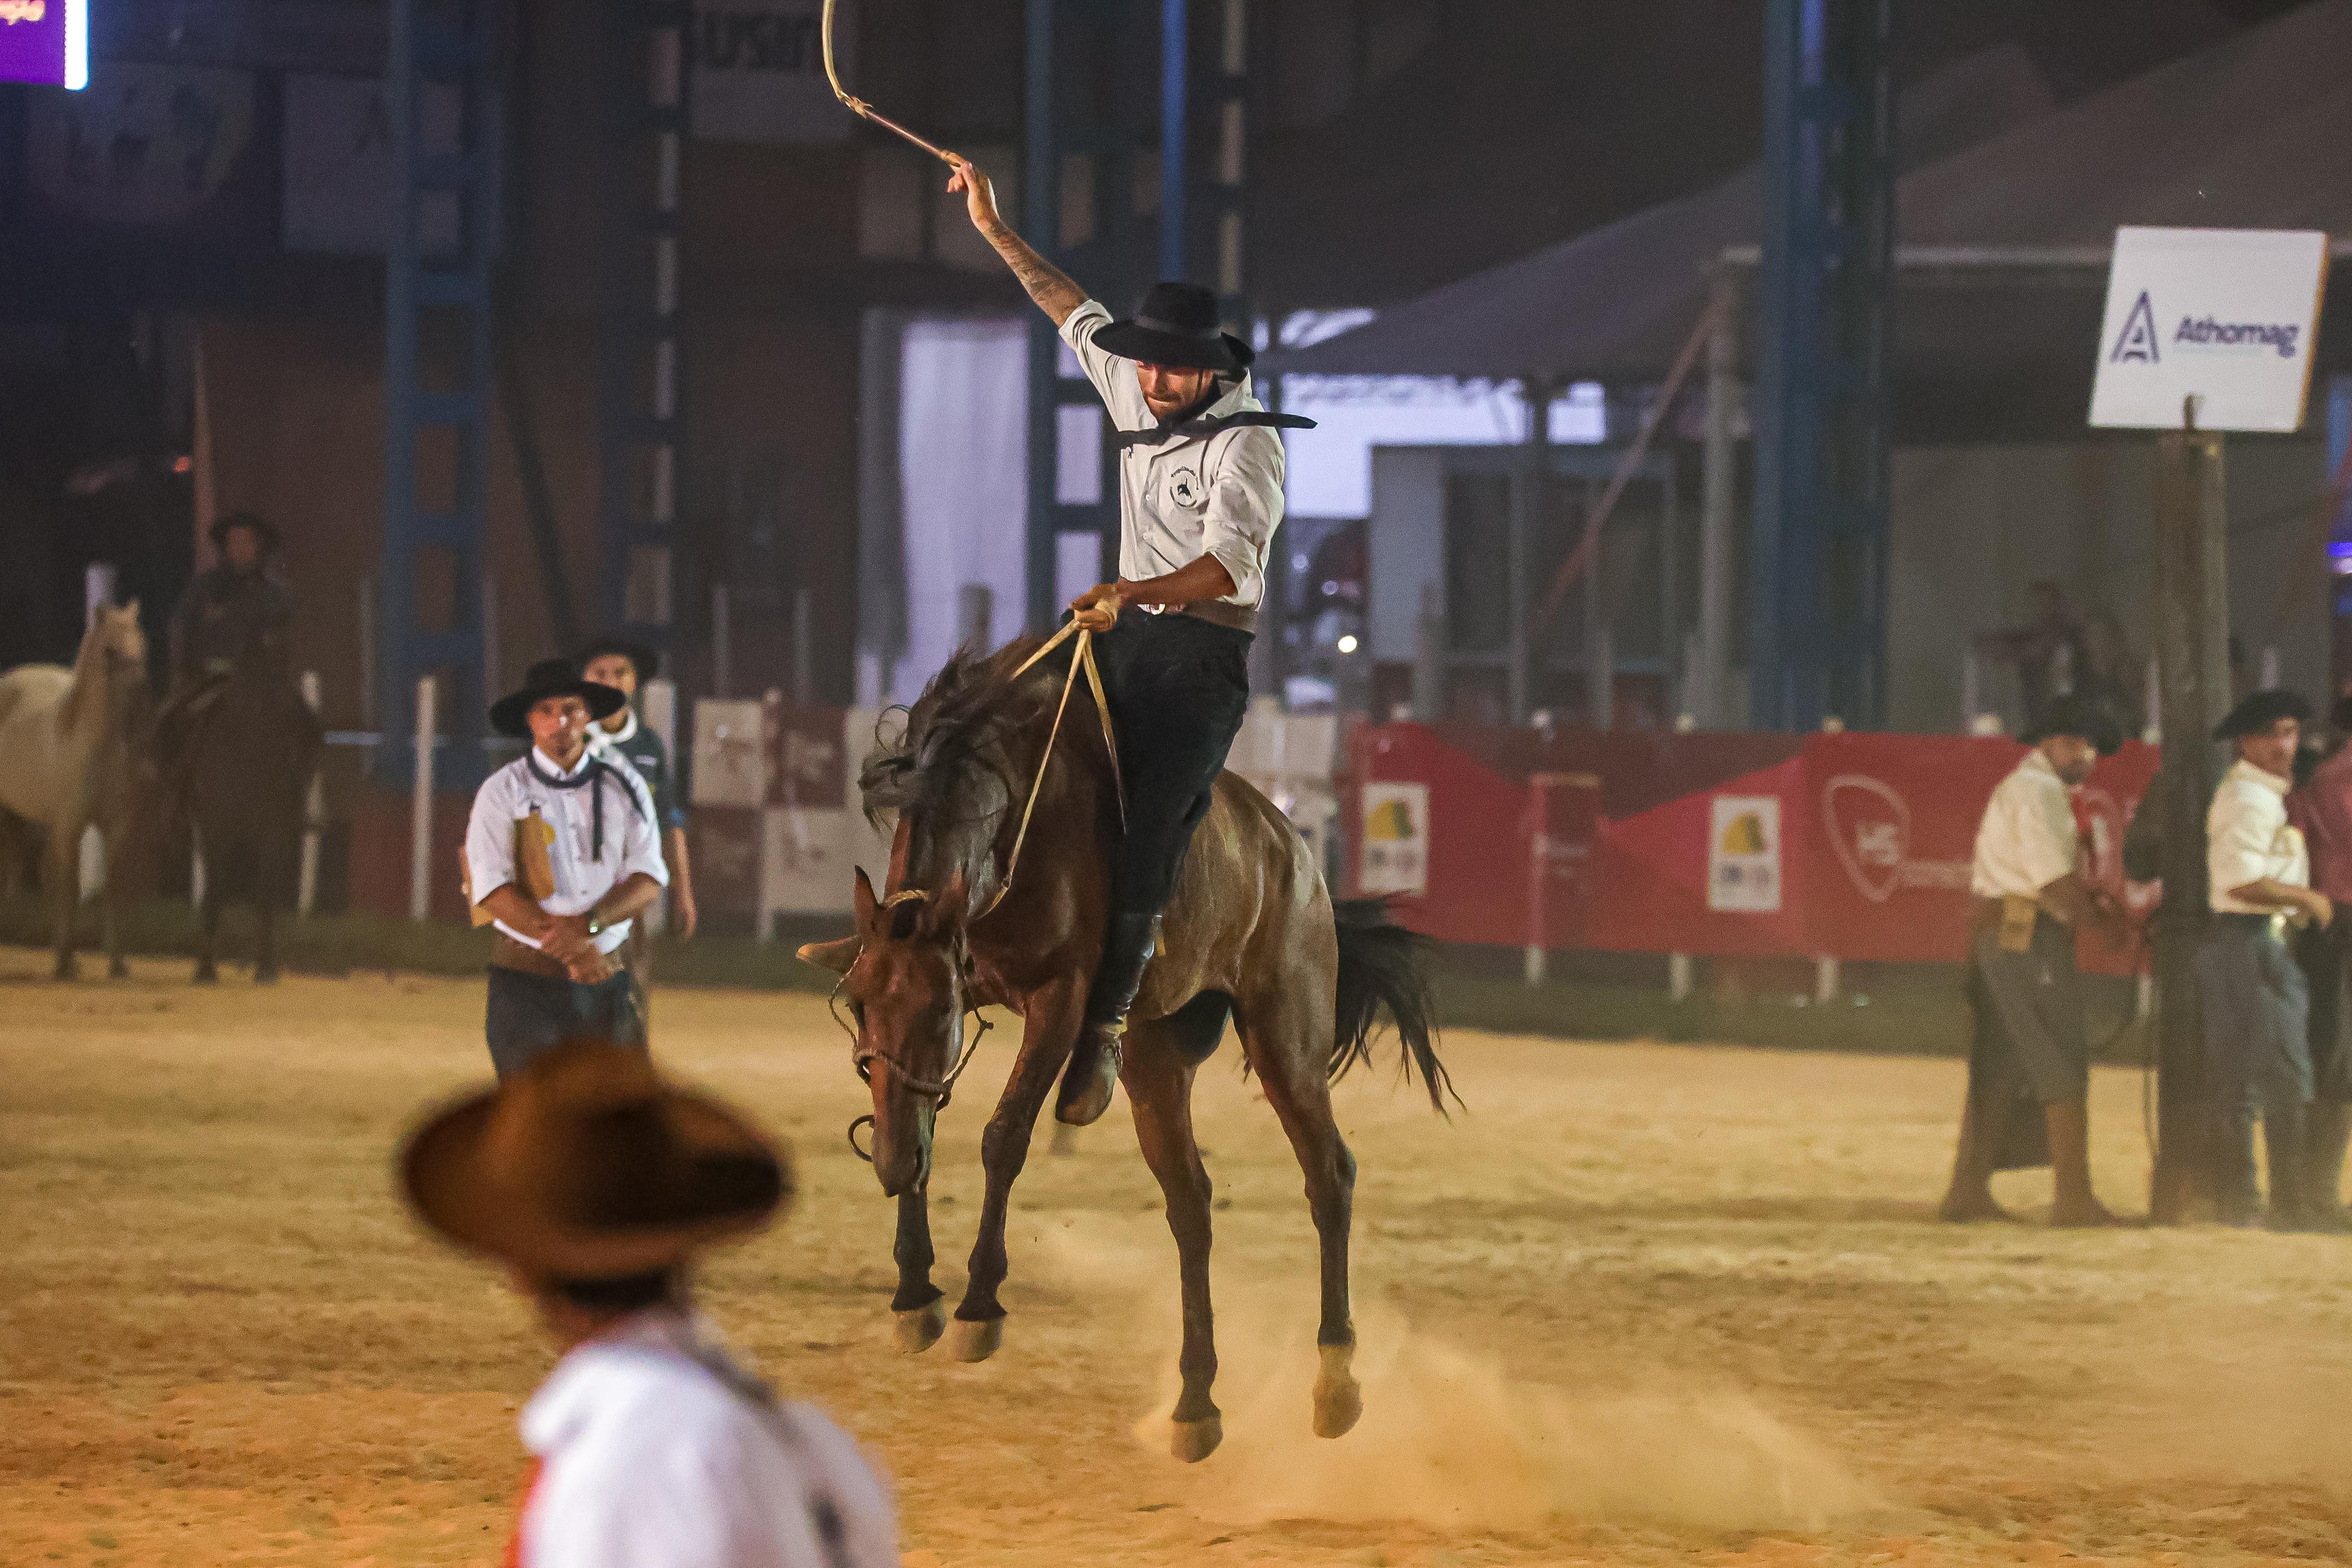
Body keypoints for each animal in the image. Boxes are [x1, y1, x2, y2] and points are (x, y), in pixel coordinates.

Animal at [0, 607, 152, 973]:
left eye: (142, 645)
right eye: (109, 651)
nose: (140, 706)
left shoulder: (115, 828)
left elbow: (112, 888)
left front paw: (116, 963)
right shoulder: (71, 827)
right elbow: (70, 888)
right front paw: (67, 964)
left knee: (44, 873)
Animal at [799, 630, 1439, 1467]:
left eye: (938, 1009)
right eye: (859, 1003)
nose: (887, 1164)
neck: (1009, 807)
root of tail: (1292, 851)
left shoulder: (1059, 997)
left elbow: (1004, 1135)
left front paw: (977, 1304)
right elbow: (921, 1120)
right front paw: (914, 1292)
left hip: (1286, 1039)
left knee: (1329, 1175)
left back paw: (1334, 1383)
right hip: (1153, 1058)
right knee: (1191, 1204)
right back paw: (1196, 1404)